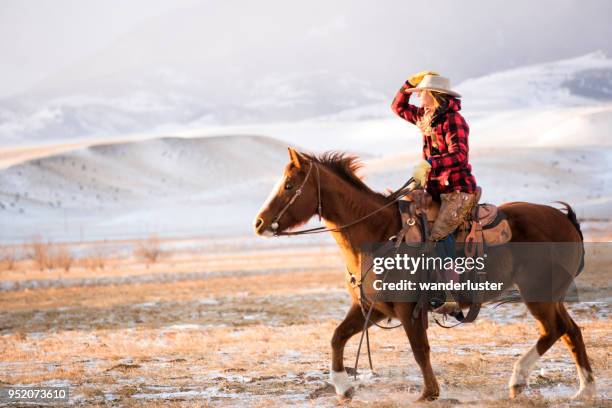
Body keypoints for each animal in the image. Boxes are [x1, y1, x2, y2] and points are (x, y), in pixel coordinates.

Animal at [251, 149, 596, 402]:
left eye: (289, 186)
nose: (259, 223)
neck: (379, 234)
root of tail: (566, 221)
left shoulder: (409, 310)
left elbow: (420, 350)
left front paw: (429, 393)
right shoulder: (374, 308)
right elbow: (337, 337)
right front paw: (343, 387)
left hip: (538, 294)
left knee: (554, 329)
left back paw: (519, 379)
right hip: (551, 296)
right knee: (571, 331)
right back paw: (585, 389)